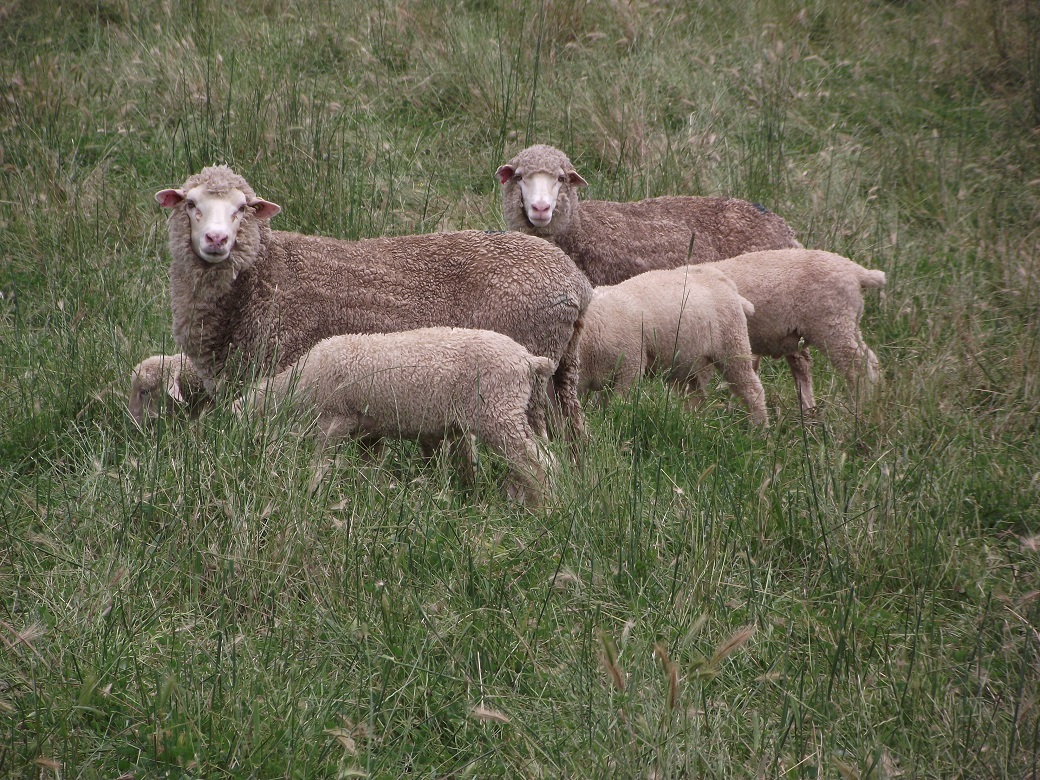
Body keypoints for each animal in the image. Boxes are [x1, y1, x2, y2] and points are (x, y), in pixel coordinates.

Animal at [136, 166, 594, 434]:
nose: (216, 239)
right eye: (190, 204)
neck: (262, 275)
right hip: (563, 367)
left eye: (242, 209)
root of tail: (577, 282)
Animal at [238, 324, 557, 503]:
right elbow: (370, 468)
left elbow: (321, 461)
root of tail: (529, 359)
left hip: (498, 411)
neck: (298, 383)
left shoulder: (334, 419)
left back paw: (543, 506)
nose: (246, 467)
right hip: (509, 411)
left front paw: (313, 490)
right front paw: (371, 496)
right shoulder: (368, 432)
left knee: (538, 462)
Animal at [582, 264, 769, 428]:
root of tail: (725, 282)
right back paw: (693, 423)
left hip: (732, 346)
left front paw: (617, 422)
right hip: (692, 362)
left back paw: (759, 430)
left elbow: (620, 404)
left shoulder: (630, 368)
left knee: (751, 389)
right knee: (695, 397)